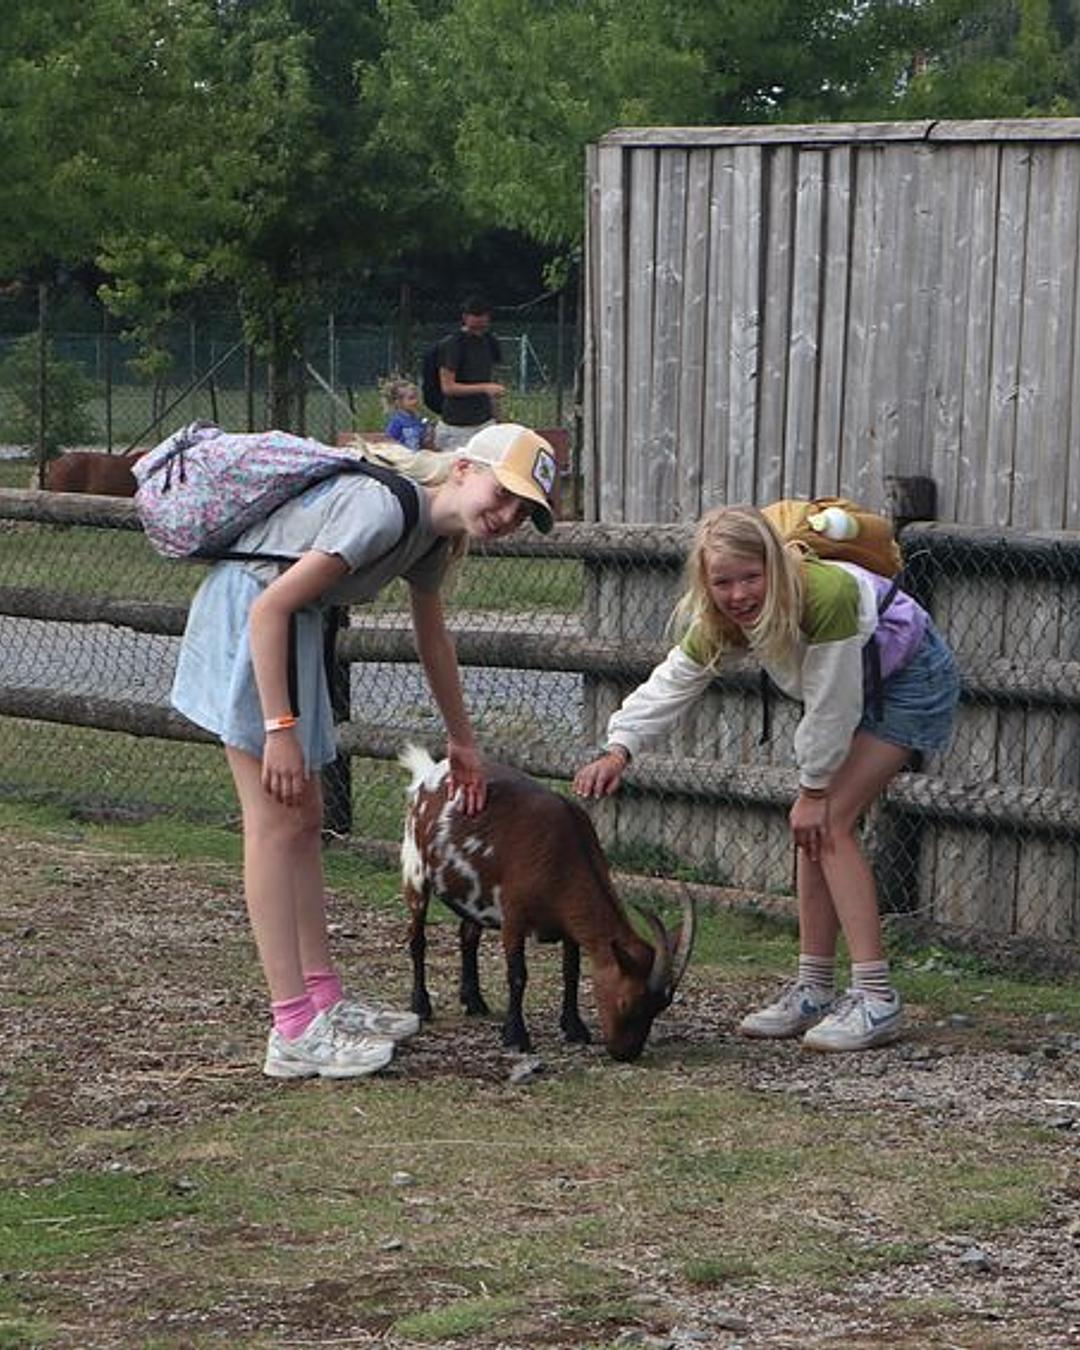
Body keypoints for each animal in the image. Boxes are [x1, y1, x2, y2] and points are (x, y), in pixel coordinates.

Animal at [399, 744, 695, 1061]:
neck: (562, 854)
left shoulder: (569, 926)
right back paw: (421, 1005)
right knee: (418, 938)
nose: (625, 1053)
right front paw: (516, 1036)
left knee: (467, 936)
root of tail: (430, 772)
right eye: (628, 1003)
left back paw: (475, 1001)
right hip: (415, 870)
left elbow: (571, 972)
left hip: (473, 891)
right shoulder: (513, 918)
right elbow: (518, 975)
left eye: (659, 1008)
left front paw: (575, 1028)